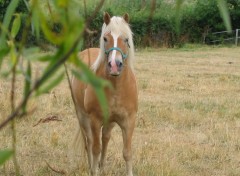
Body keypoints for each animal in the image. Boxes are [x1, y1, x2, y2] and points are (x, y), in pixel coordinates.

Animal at [71, 12, 138, 176]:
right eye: (105, 39)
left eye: (126, 39)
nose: (114, 65)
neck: (115, 88)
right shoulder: (95, 120)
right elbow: (96, 148)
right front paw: (94, 170)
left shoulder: (129, 121)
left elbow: (127, 153)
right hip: (83, 116)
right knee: (89, 142)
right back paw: (92, 166)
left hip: (110, 121)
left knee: (105, 137)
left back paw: (102, 166)